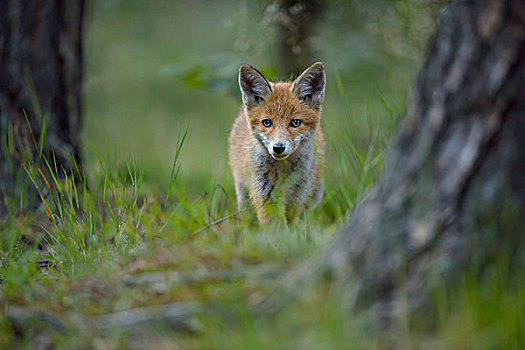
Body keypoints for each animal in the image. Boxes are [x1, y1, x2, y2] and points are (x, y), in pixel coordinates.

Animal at [228, 61, 326, 223]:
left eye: (295, 123)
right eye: (267, 123)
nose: (278, 147)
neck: (283, 171)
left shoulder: (298, 196)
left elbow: (291, 224)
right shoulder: (265, 195)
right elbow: (274, 225)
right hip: (243, 191)